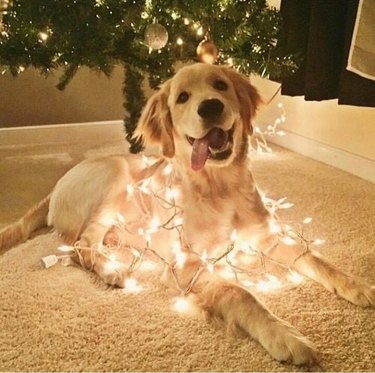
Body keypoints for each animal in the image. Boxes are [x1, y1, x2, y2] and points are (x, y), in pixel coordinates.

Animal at [0, 63, 374, 364]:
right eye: (182, 98)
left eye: (220, 85)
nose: (210, 106)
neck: (220, 187)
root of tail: (55, 188)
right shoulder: (187, 265)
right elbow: (241, 293)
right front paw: (285, 335)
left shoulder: (268, 236)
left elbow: (316, 258)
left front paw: (359, 286)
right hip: (116, 177)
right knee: (81, 245)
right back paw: (112, 269)